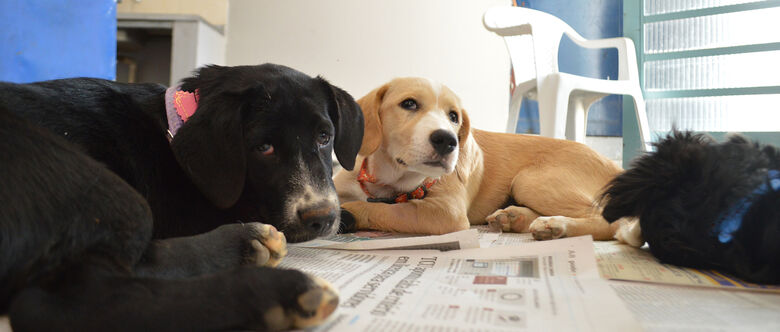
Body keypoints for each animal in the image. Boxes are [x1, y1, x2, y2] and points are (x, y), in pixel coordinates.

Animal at [0, 63, 364, 330]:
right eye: (263, 148)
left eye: (324, 136)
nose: (320, 218)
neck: (172, 127)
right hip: (96, 184)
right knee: (67, 300)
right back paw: (277, 287)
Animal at [332, 77, 632, 239]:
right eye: (408, 104)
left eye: (454, 116)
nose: (448, 141)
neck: (389, 180)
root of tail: (614, 167)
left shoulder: (447, 213)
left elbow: (382, 209)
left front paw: (351, 213)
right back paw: (514, 217)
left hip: (531, 180)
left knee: (609, 221)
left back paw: (556, 225)